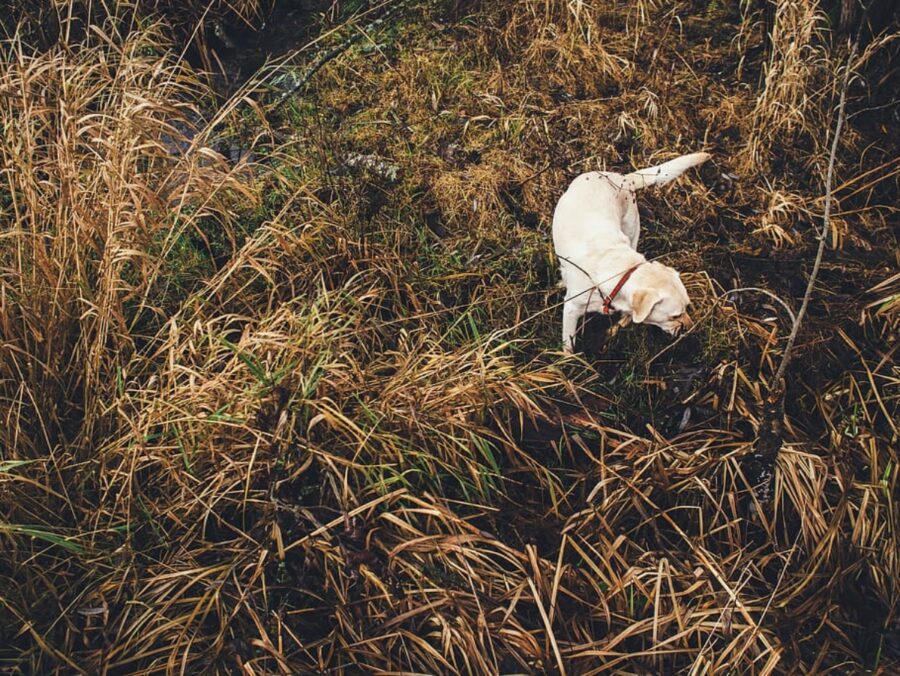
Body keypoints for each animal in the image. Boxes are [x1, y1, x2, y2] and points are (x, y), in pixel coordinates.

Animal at [556, 153, 712, 354]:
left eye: (687, 307)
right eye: (674, 316)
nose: (691, 329)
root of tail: (623, 177)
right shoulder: (571, 309)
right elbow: (568, 344)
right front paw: (568, 360)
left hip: (632, 230)